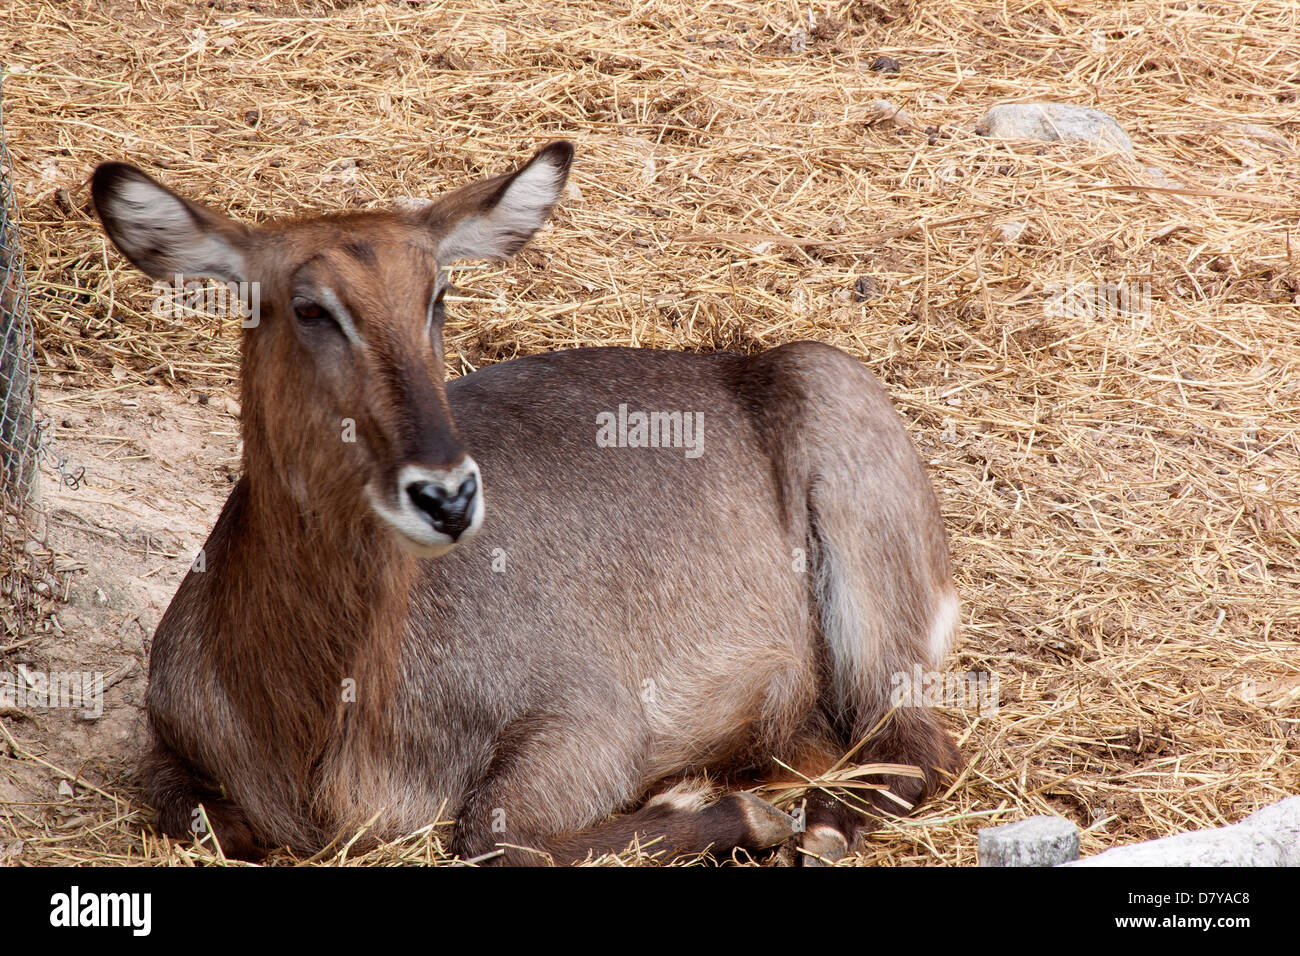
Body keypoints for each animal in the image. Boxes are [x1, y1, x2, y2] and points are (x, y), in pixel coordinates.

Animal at [91, 141, 961, 868]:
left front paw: (718, 808)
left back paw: (817, 826)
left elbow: (493, 840)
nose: (447, 494)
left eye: (437, 293)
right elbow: (203, 819)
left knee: (920, 747)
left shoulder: (590, 717)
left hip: (850, 484)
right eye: (309, 307)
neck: (311, 722)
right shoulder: (166, 737)